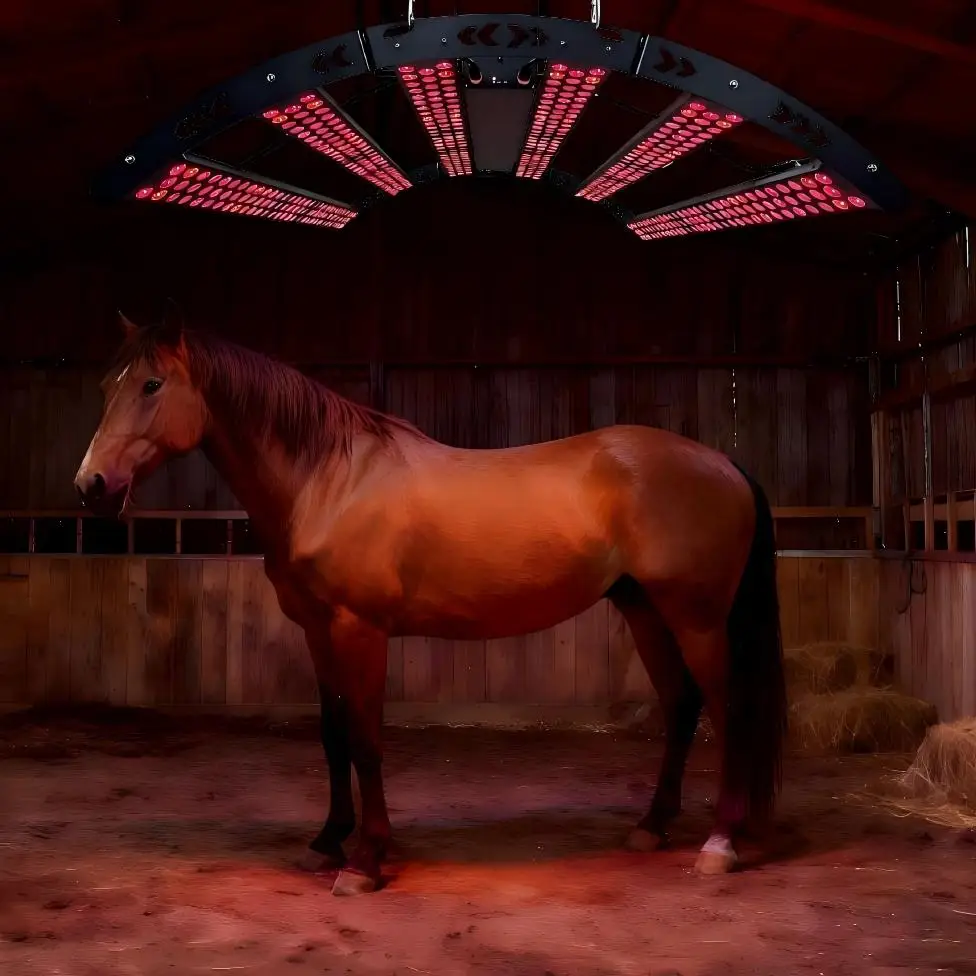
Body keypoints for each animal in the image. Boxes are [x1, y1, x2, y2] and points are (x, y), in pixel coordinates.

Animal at [74, 311, 787, 897]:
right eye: (107, 384)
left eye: (151, 385)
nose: (91, 484)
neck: (329, 479)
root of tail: (723, 463)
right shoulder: (317, 630)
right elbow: (333, 735)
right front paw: (327, 841)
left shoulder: (359, 630)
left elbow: (365, 739)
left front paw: (365, 862)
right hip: (645, 611)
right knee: (683, 706)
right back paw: (654, 826)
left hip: (696, 617)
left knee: (728, 708)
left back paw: (720, 844)